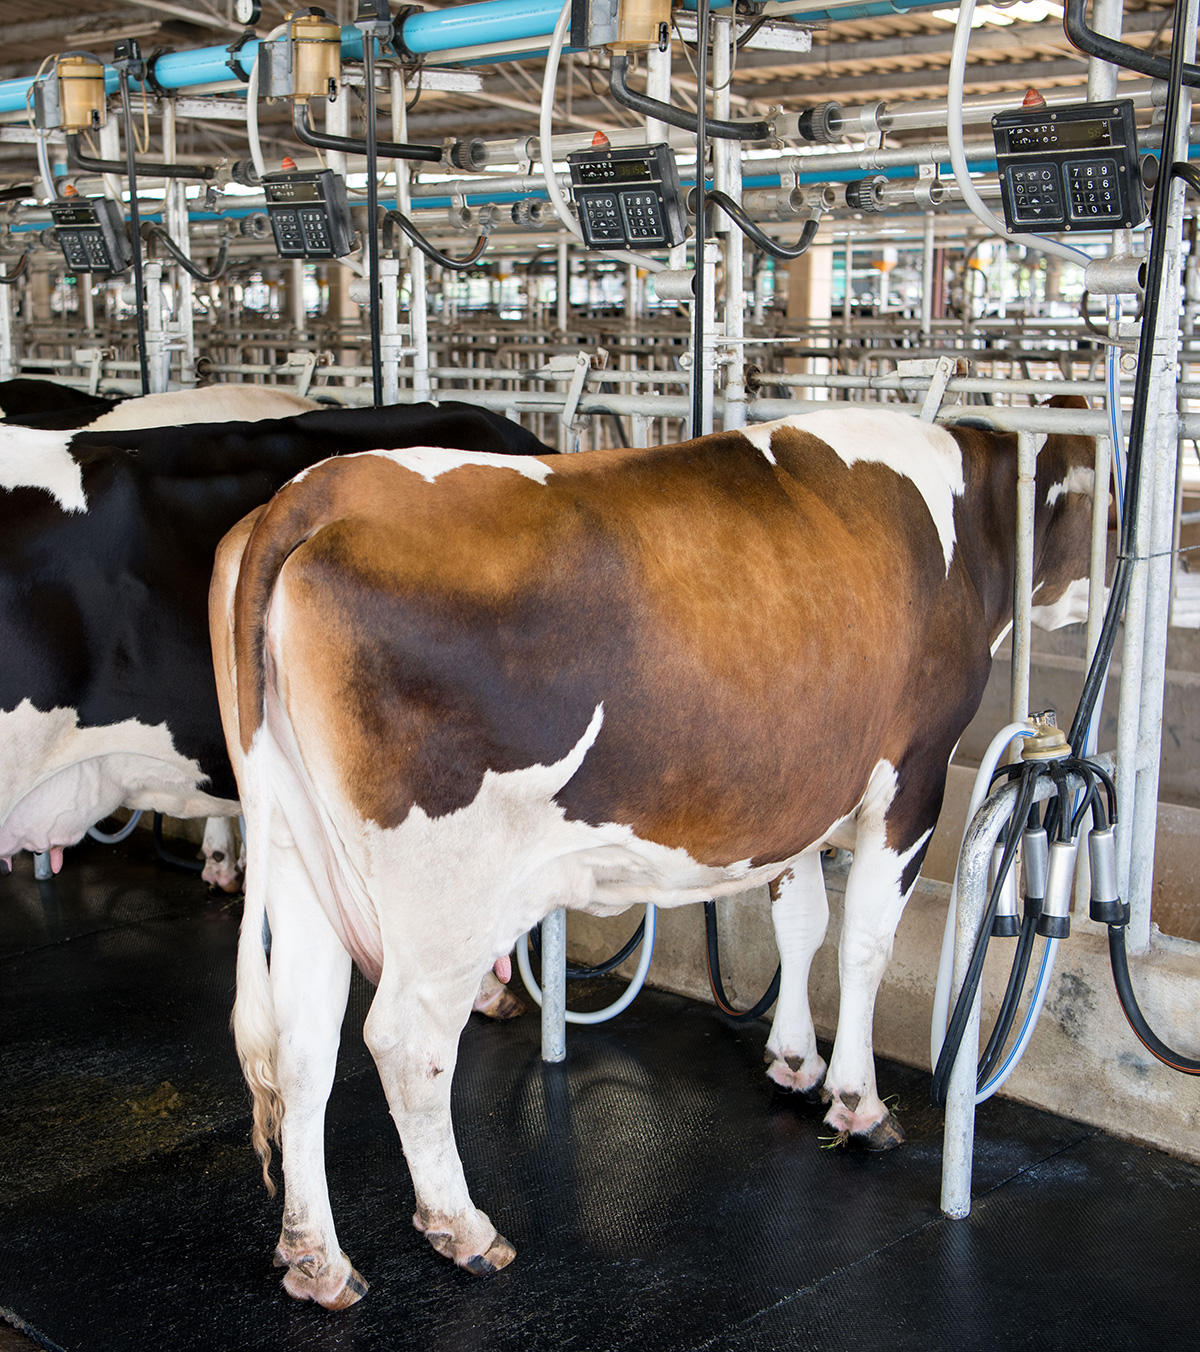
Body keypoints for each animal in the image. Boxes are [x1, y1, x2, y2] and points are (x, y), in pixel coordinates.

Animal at [209, 398, 1098, 1308]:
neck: (967, 513)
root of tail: (317, 493)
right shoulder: (910, 780)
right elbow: (862, 946)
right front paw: (857, 1103)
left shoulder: (799, 793)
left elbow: (802, 926)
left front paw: (791, 1060)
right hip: (440, 888)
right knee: (406, 1040)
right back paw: (462, 1228)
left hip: (298, 852)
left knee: (302, 1042)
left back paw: (317, 1257)